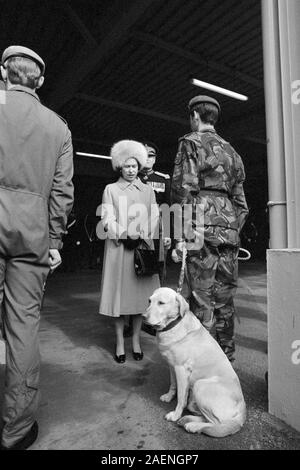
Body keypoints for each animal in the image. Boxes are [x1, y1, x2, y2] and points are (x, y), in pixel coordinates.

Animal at [144, 286, 246, 436]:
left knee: (217, 423)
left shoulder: (181, 370)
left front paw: (175, 415)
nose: (143, 317)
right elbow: (173, 384)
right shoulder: (172, 366)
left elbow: (181, 397)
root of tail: (243, 409)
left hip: (200, 385)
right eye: (149, 301)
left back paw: (193, 425)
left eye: (161, 303)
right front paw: (169, 396)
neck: (173, 325)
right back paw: (187, 420)